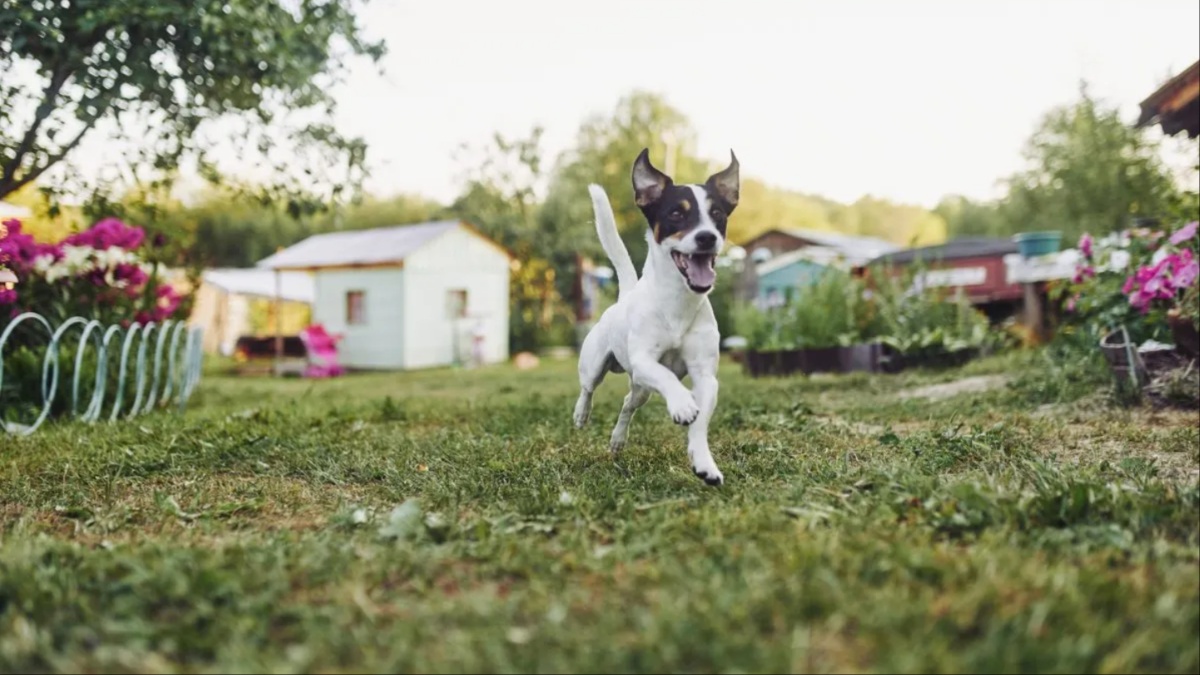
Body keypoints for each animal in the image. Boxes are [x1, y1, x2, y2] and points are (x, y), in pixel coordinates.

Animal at [573, 147, 734, 482]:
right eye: (676, 214)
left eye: (717, 215)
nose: (707, 237)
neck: (678, 303)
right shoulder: (644, 360)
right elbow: (667, 375)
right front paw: (682, 403)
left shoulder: (705, 377)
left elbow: (700, 422)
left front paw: (704, 463)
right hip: (596, 364)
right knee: (588, 387)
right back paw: (581, 414)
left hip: (642, 390)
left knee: (627, 404)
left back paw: (618, 440)